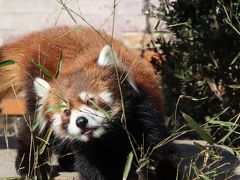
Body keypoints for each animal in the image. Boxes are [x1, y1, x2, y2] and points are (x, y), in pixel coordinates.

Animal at [0, 26, 176, 179]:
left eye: (91, 101)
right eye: (66, 111)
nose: (81, 121)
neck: (109, 135)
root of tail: (42, 36)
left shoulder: (145, 112)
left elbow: (158, 145)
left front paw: (155, 169)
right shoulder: (87, 148)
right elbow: (91, 166)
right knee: (35, 129)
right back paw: (31, 165)